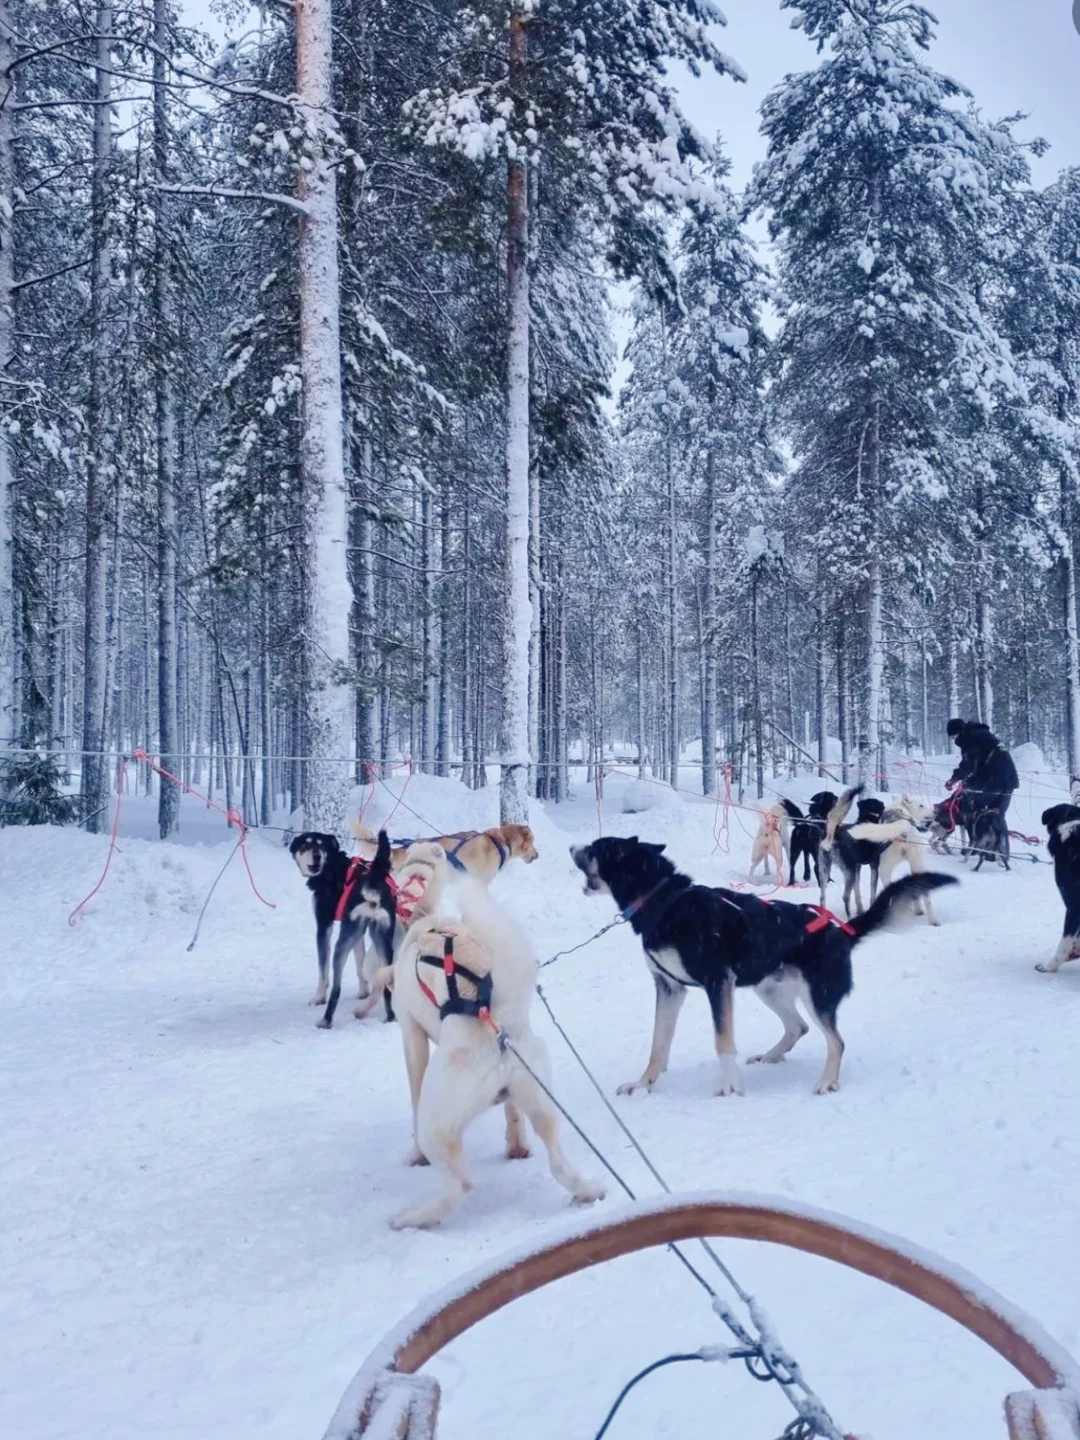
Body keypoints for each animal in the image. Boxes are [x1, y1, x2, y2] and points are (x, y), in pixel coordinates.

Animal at [292, 829, 397, 1031]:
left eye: (322, 846)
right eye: (306, 844)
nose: (317, 856)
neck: (331, 866)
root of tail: (374, 879)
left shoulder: (324, 926)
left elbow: (323, 971)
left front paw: (318, 998)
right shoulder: (358, 932)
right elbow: (360, 962)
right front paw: (363, 991)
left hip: (341, 946)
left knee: (336, 988)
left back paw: (326, 1021)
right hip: (381, 939)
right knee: (386, 984)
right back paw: (389, 1017)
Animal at [567, 835, 956, 1088]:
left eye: (594, 848)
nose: (570, 847)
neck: (665, 902)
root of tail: (842, 929)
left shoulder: (717, 983)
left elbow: (723, 1041)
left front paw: (730, 1088)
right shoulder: (670, 987)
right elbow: (658, 1045)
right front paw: (643, 1084)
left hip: (817, 997)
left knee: (836, 1041)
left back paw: (826, 1082)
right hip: (768, 990)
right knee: (798, 1028)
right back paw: (771, 1056)